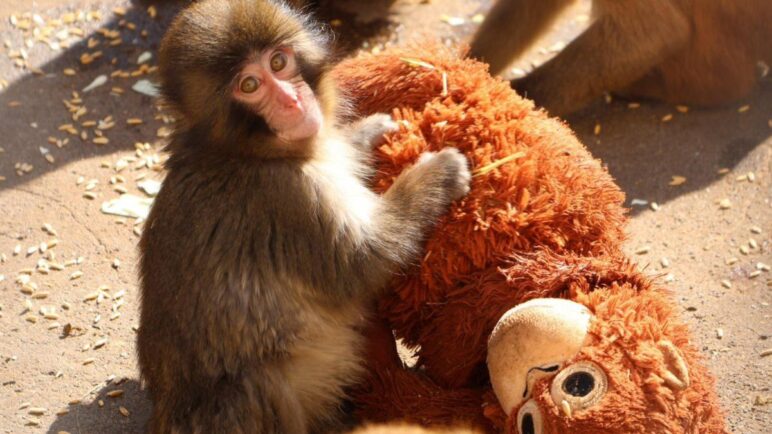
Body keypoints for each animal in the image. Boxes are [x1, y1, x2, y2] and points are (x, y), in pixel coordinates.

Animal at [136, 0, 471, 433]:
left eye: (279, 62)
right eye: (249, 85)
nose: (292, 102)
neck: (245, 152)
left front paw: (368, 132)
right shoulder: (288, 197)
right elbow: (363, 261)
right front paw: (438, 173)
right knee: (256, 383)